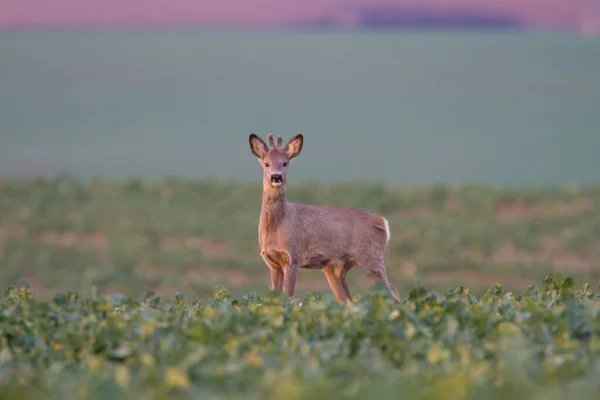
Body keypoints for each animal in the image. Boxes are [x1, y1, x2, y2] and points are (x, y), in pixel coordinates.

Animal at [248, 133, 404, 304]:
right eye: (266, 163)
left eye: (285, 163)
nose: (276, 177)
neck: (278, 226)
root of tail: (383, 222)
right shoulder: (272, 262)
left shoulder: (294, 256)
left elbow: (288, 296)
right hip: (335, 269)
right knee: (349, 301)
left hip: (371, 257)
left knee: (393, 292)